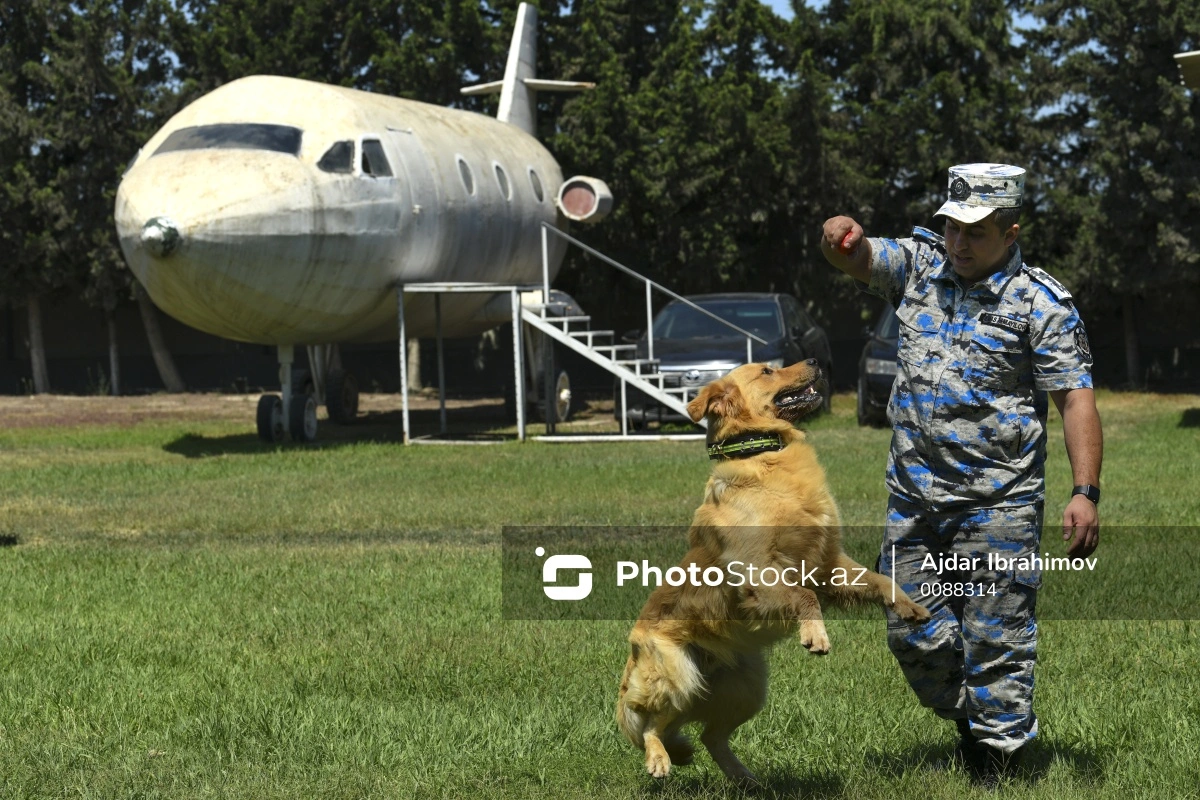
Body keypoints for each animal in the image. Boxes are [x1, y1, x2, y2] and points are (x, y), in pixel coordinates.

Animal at [614, 359, 931, 786]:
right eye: (767, 371)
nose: (815, 360)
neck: (762, 453)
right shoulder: (759, 574)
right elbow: (803, 597)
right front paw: (815, 635)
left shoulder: (828, 565)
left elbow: (880, 580)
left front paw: (908, 606)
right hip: (678, 674)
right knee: (650, 724)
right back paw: (660, 759)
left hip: (746, 688)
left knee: (710, 736)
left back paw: (743, 778)